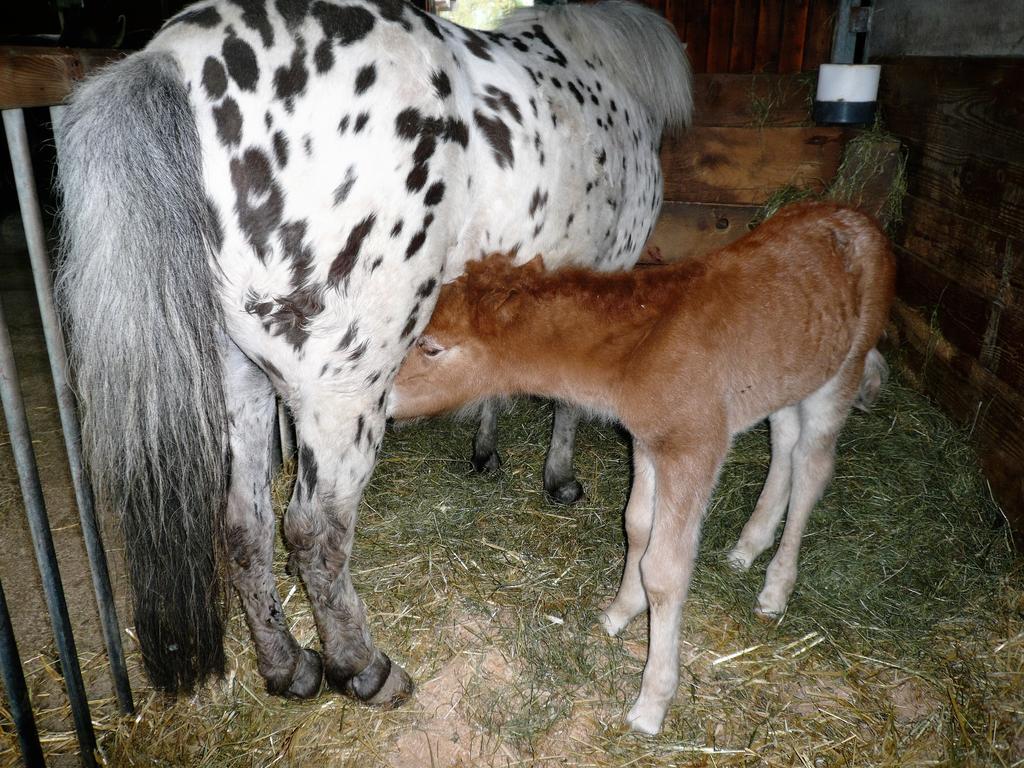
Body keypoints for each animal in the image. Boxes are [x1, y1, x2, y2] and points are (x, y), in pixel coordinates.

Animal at [58, 0, 696, 708]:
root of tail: (173, 59)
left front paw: (487, 450)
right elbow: (567, 400)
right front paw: (559, 479)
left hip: (239, 382)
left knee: (245, 526)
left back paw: (288, 666)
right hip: (345, 391)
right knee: (314, 533)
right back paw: (363, 667)